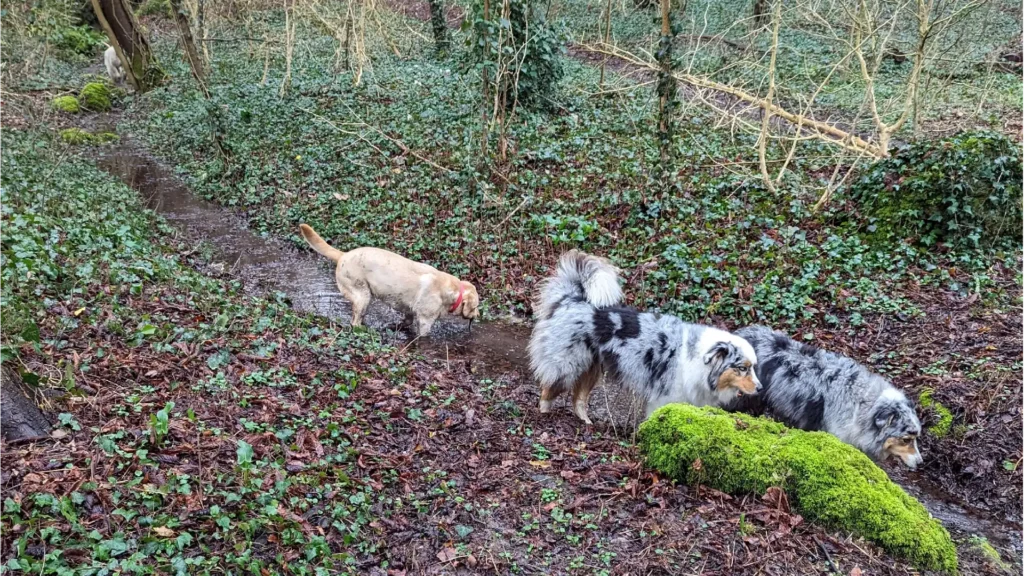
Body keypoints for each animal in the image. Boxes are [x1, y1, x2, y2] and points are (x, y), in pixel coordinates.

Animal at [296, 222, 479, 334]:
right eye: (476, 306)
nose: (477, 316)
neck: (451, 291)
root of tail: (343, 255)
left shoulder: (410, 312)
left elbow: (406, 321)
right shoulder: (425, 321)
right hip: (362, 295)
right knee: (355, 322)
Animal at [528, 249, 761, 424]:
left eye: (753, 367)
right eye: (742, 368)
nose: (760, 388)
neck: (699, 357)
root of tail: (571, 299)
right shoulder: (666, 397)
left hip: (590, 369)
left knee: (578, 399)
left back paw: (586, 422)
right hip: (568, 364)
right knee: (548, 390)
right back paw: (544, 415)